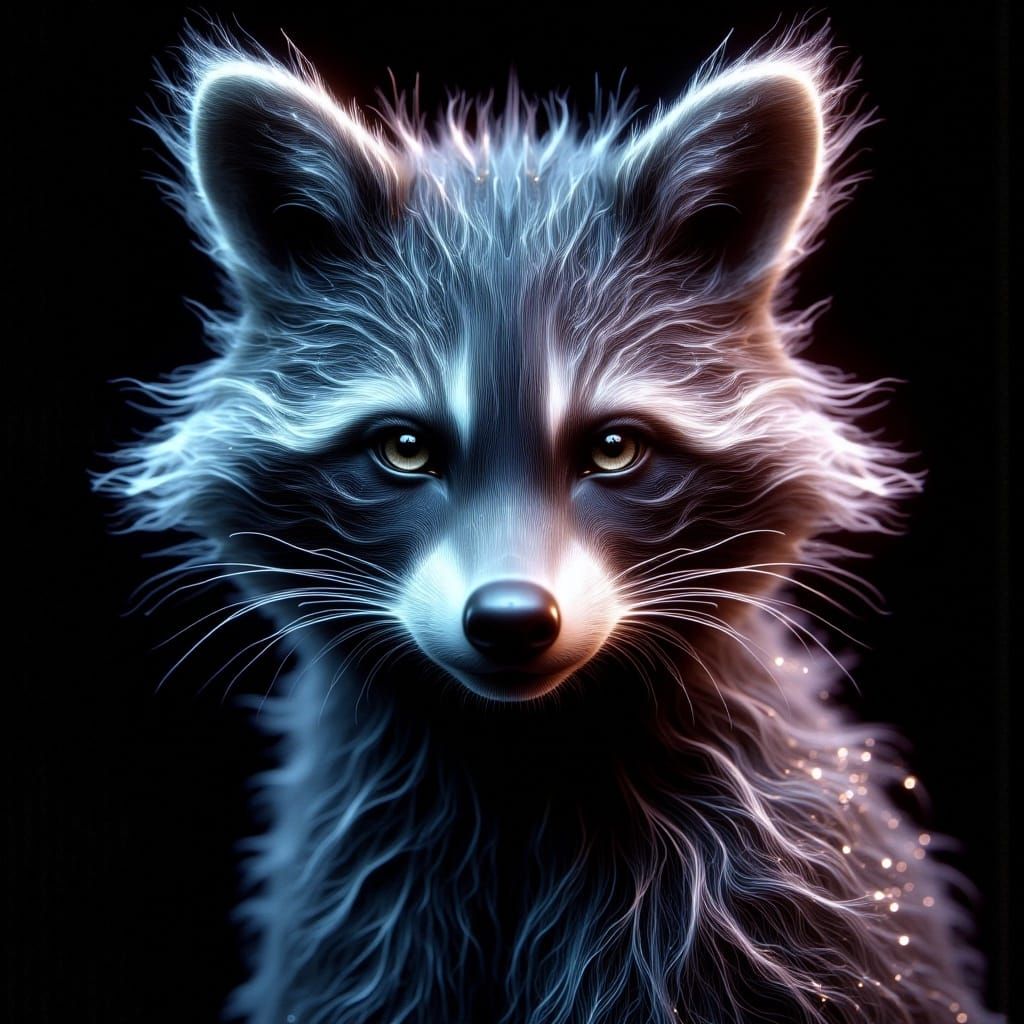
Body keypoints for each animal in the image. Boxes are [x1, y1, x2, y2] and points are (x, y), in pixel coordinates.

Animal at [94, 23, 1000, 1024]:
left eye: (614, 450)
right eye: (404, 449)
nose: (511, 620)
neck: (519, 758)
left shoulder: (758, 910)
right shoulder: (365, 910)